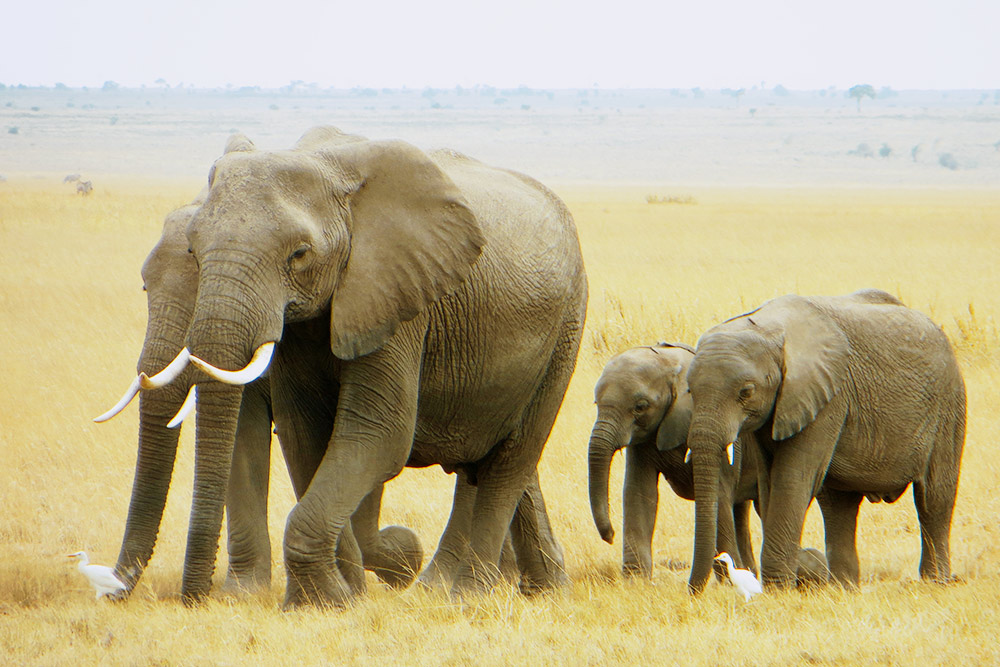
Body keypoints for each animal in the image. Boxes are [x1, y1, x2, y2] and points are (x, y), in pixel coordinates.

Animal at [101, 126, 584, 612]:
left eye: (299, 254)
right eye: (194, 251)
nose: (193, 598)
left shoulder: (394, 295)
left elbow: (377, 432)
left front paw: (341, 589)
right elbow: (301, 435)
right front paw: (335, 596)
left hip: (565, 329)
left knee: (510, 460)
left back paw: (463, 596)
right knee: (488, 460)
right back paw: (534, 586)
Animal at [584, 342, 756, 576]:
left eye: (640, 406)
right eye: (596, 402)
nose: (610, 536)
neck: (672, 363)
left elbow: (718, 496)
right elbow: (639, 492)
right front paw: (636, 579)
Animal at [684, 290, 964, 592]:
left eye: (745, 392)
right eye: (689, 390)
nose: (693, 593)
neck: (770, 329)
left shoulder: (827, 397)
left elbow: (792, 479)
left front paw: (777, 591)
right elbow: (769, 482)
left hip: (948, 406)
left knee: (934, 498)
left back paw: (935, 582)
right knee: (839, 506)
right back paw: (844, 588)